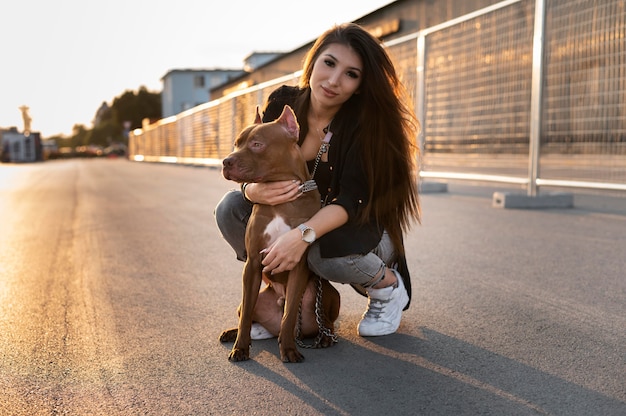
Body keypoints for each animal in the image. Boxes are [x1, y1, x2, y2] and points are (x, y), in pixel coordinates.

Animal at [218, 105, 338, 362]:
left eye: (257, 144)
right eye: (236, 143)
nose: (225, 161)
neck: (281, 203)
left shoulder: (297, 264)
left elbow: (290, 313)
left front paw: (289, 349)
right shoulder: (253, 263)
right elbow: (246, 316)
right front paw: (240, 348)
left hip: (329, 294)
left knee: (326, 321)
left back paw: (324, 337)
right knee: (247, 314)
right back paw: (232, 333)